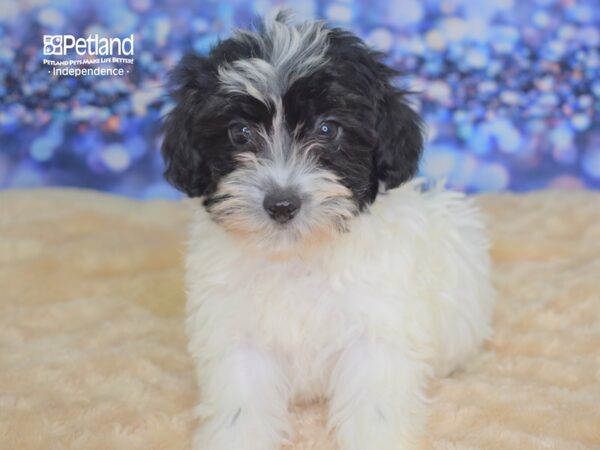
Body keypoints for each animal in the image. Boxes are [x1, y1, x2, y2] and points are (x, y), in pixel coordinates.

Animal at [162, 10, 494, 450]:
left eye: (326, 129)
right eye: (240, 133)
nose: (282, 204)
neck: (298, 254)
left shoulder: (376, 327)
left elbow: (374, 405)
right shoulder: (234, 330)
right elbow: (241, 404)